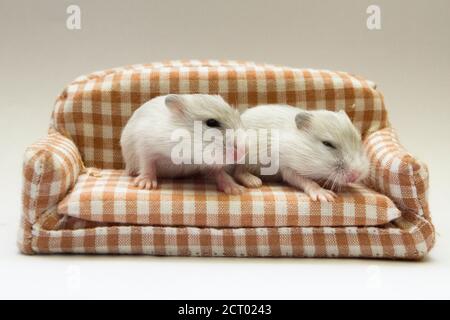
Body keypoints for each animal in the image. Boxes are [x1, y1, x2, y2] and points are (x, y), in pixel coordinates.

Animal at [236, 104, 370, 201]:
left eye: (359, 141)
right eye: (327, 144)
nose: (356, 175)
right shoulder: (287, 168)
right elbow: (307, 181)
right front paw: (326, 196)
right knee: (239, 172)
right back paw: (254, 182)